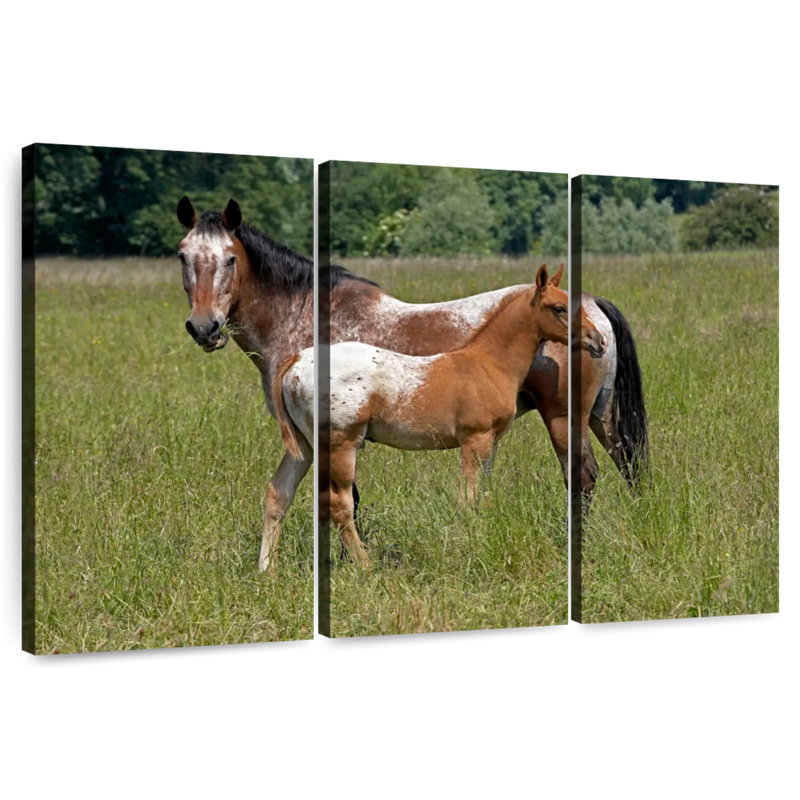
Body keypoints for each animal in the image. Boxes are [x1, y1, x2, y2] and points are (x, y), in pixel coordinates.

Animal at [275, 265, 607, 566]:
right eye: (559, 308)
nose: (599, 341)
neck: (489, 362)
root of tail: (298, 360)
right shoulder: (475, 440)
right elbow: (468, 499)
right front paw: (468, 546)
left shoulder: (491, 442)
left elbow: (482, 496)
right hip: (342, 445)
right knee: (338, 503)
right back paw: (365, 565)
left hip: (308, 446)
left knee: (288, 493)